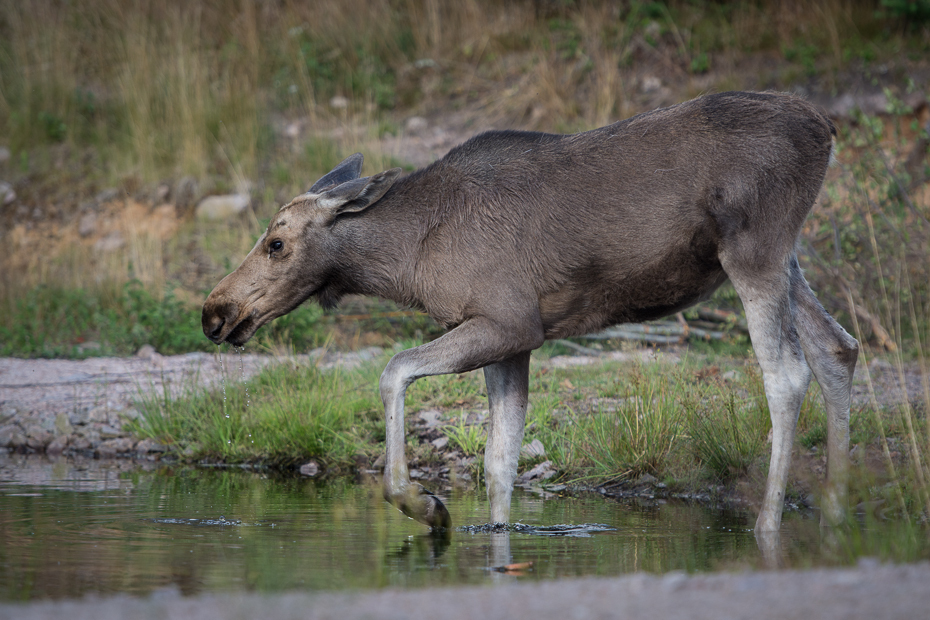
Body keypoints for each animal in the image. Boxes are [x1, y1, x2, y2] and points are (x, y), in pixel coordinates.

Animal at [201, 91, 856, 532]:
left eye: (276, 243)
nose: (215, 311)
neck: (407, 259)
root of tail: (825, 127)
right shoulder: (513, 340)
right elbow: (500, 459)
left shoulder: (508, 321)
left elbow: (393, 371)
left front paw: (421, 504)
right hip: (784, 258)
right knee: (838, 348)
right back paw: (834, 510)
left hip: (753, 250)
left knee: (786, 374)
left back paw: (769, 526)